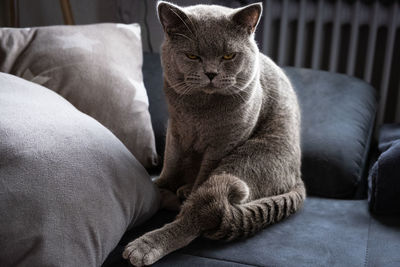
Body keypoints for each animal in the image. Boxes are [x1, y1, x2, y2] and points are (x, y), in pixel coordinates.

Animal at [123, 1, 304, 266]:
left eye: (228, 56)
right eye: (192, 56)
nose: (210, 73)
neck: (200, 110)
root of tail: (298, 178)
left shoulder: (224, 143)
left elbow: (202, 178)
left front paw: (182, 192)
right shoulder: (176, 131)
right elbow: (170, 164)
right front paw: (163, 183)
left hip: (248, 161)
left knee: (203, 211)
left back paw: (144, 245)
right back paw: (162, 191)